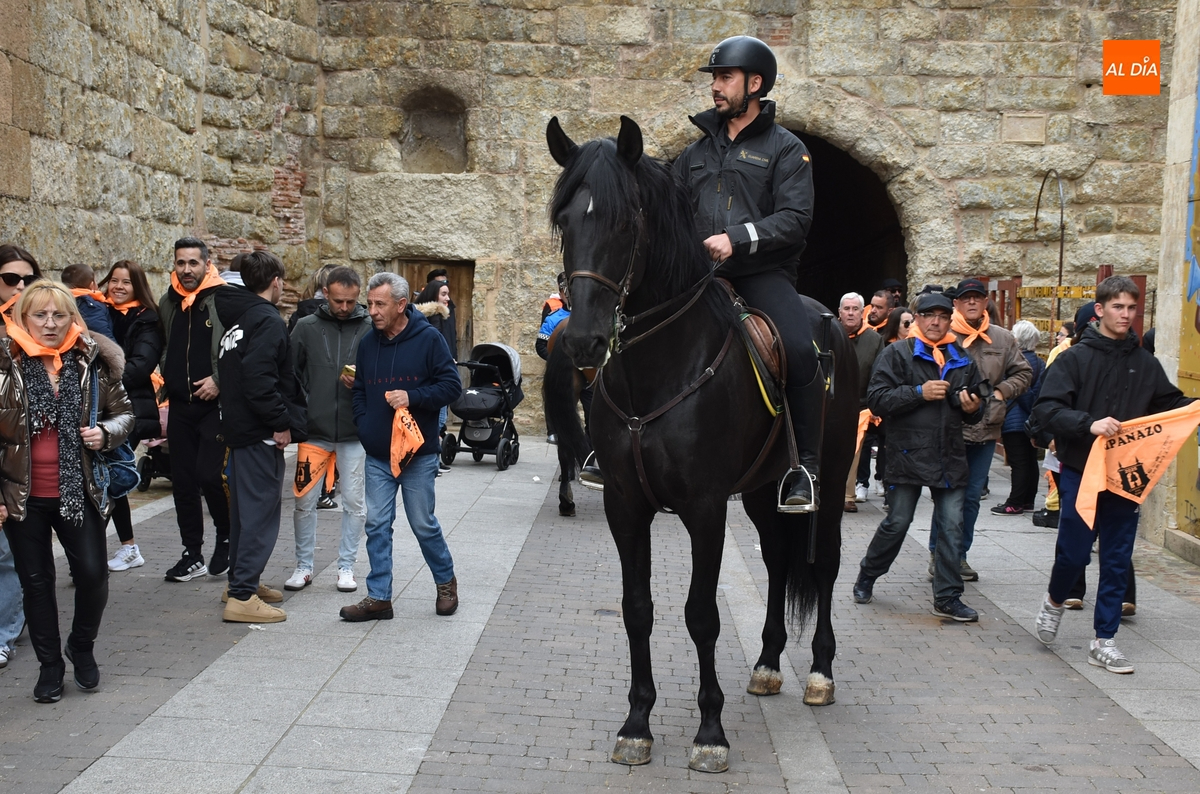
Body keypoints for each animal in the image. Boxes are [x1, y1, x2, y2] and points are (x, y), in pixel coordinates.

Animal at [545, 115, 858, 773]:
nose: (582, 342)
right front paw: (637, 722)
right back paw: (767, 663)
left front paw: (710, 731)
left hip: (831, 473)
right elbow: (637, 608)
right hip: (763, 489)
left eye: (624, 221)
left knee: (822, 563)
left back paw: (819, 672)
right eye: (565, 220)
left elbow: (702, 615)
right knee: (777, 558)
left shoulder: (706, 507)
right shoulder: (627, 505)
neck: (657, 371)